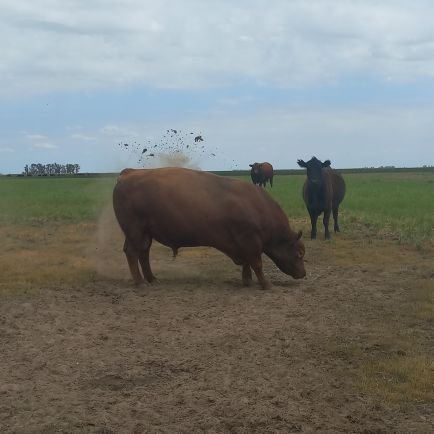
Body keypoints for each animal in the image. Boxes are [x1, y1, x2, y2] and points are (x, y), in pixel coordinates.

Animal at [113, 168, 306, 290]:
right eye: (299, 253)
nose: (303, 274)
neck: (258, 207)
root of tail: (129, 173)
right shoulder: (250, 241)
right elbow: (256, 263)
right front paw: (266, 285)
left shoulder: (242, 245)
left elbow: (246, 263)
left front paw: (247, 281)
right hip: (136, 232)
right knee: (133, 253)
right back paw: (140, 282)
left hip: (144, 234)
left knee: (143, 253)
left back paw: (152, 278)